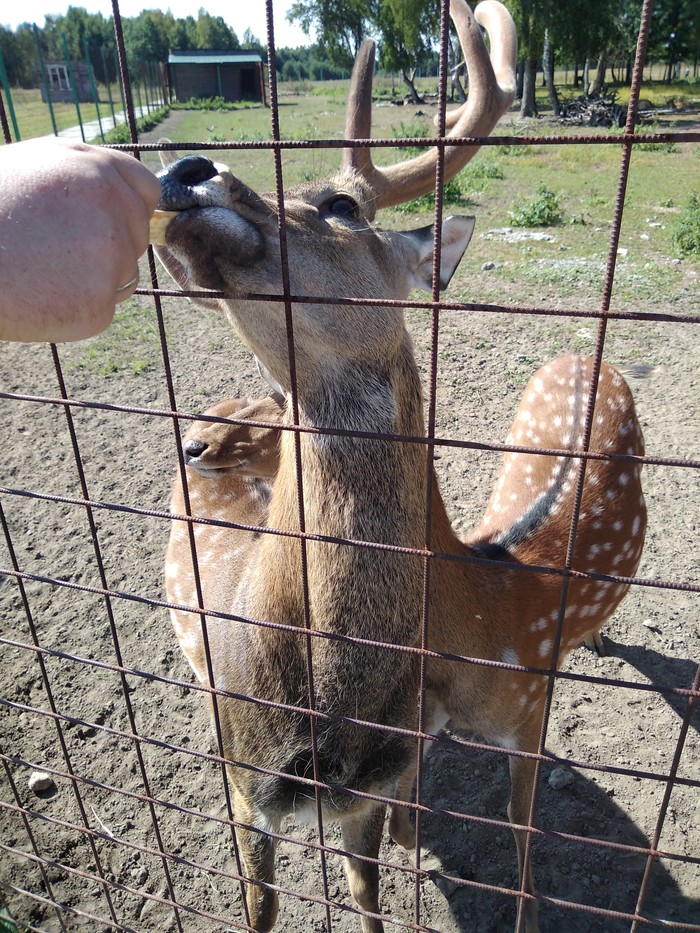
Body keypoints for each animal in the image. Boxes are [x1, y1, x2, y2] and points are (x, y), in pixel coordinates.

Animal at [157, 3, 644, 928]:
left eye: (342, 203)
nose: (185, 167)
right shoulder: (247, 784)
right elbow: (262, 906)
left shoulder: (396, 775)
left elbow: (382, 886)